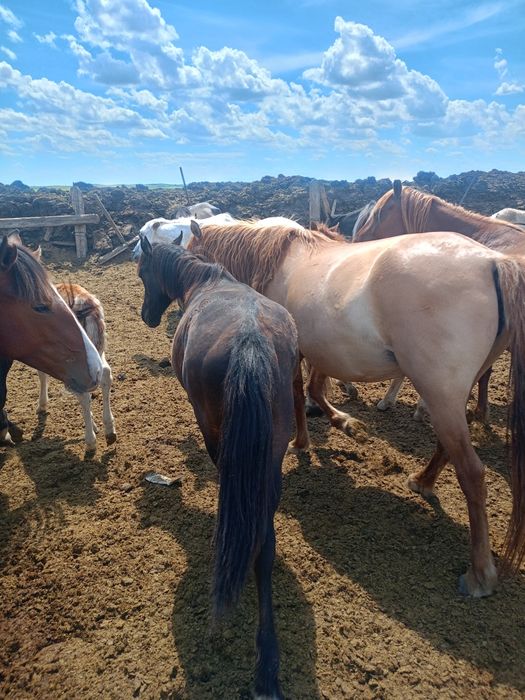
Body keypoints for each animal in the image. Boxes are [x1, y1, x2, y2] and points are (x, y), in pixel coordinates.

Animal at [137, 233, 304, 699]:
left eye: (141, 271)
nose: (146, 316)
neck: (205, 280)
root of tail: (250, 341)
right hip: (271, 455)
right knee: (264, 539)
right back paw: (267, 664)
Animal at [188, 218, 525, 598]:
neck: (279, 258)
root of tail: (493, 261)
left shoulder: (295, 351)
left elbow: (299, 394)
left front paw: (303, 441)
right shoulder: (320, 351)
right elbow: (314, 389)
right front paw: (346, 425)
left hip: (439, 392)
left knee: (472, 474)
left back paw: (479, 575)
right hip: (451, 395)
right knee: (447, 447)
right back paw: (422, 481)